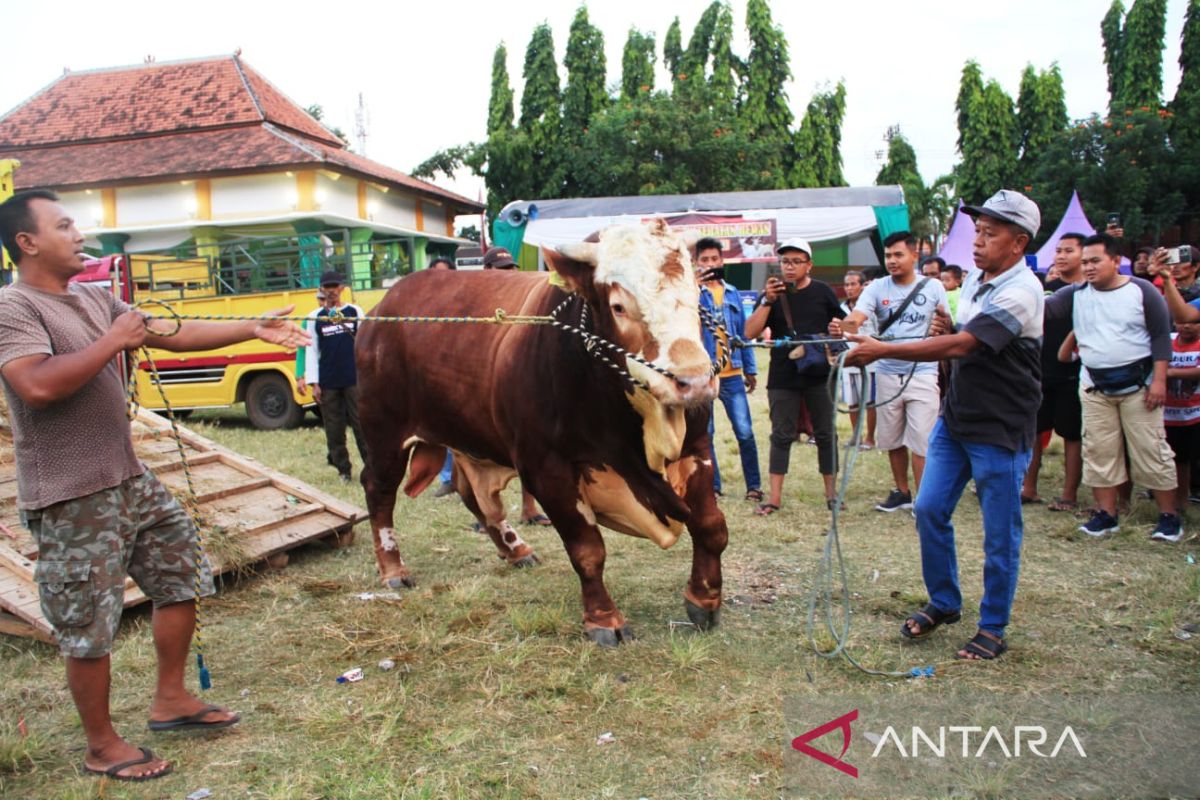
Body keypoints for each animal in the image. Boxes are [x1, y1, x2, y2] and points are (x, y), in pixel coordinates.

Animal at [352, 219, 729, 642]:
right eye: (619, 305)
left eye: (695, 294)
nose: (694, 381)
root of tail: (381, 310)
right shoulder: (547, 468)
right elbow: (588, 550)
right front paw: (604, 620)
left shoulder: (696, 448)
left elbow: (711, 526)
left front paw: (704, 599)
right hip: (384, 434)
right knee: (378, 490)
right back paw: (393, 568)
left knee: (473, 493)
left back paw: (515, 549)